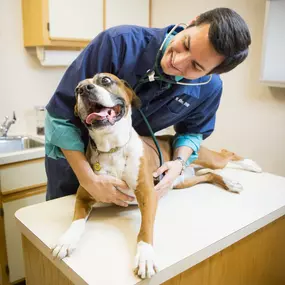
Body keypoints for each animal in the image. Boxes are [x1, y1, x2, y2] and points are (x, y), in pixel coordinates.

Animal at [51, 72, 262, 278]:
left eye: (105, 80)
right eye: (76, 89)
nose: (84, 89)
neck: (113, 148)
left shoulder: (147, 193)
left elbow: (145, 227)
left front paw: (145, 256)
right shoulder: (86, 194)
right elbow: (77, 220)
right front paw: (67, 240)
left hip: (206, 158)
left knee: (227, 155)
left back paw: (251, 166)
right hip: (181, 181)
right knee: (209, 175)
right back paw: (230, 181)